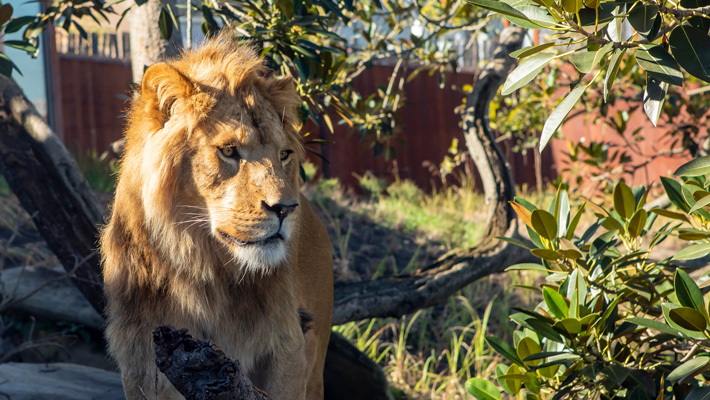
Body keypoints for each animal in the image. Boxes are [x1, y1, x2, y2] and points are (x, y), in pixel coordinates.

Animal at [100, 35, 336, 400]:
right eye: (228, 151)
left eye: (284, 154)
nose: (286, 208)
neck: (204, 271)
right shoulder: (138, 355)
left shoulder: (286, 347)